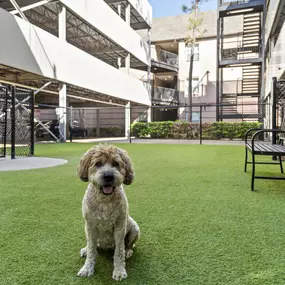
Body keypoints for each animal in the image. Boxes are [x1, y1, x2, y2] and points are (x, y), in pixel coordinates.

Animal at [75, 143, 139, 280]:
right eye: (98, 163)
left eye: (116, 163)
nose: (108, 176)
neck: (104, 200)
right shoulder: (90, 226)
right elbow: (91, 251)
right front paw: (87, 268)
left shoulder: (120, 227)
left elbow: (119, 251)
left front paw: (119, 270)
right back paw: (86, 249)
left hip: (134, 227)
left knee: (128, 245)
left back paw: (128, 251)